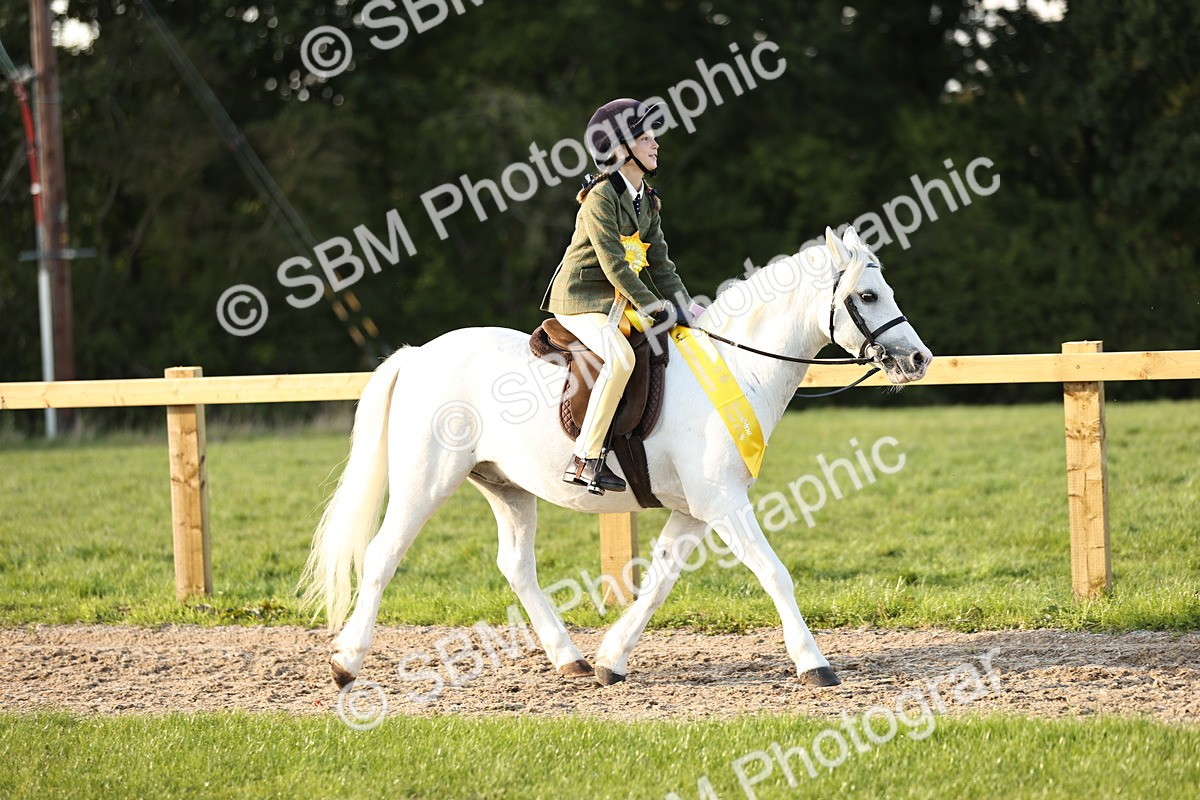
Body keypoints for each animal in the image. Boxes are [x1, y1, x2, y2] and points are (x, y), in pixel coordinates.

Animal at [301, 225, 932, 689]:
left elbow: (657, 583)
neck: (736, 368)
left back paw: (571, 659)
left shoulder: (695, 511)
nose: (919, 359)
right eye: (868, 295)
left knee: (516, 566)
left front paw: (612, 660)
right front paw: (813, 663)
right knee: (382, 556)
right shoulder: (724, 504)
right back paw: (346, 664)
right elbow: (774, 573)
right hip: (425, 481)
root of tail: (416, 354)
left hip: (507, 487)